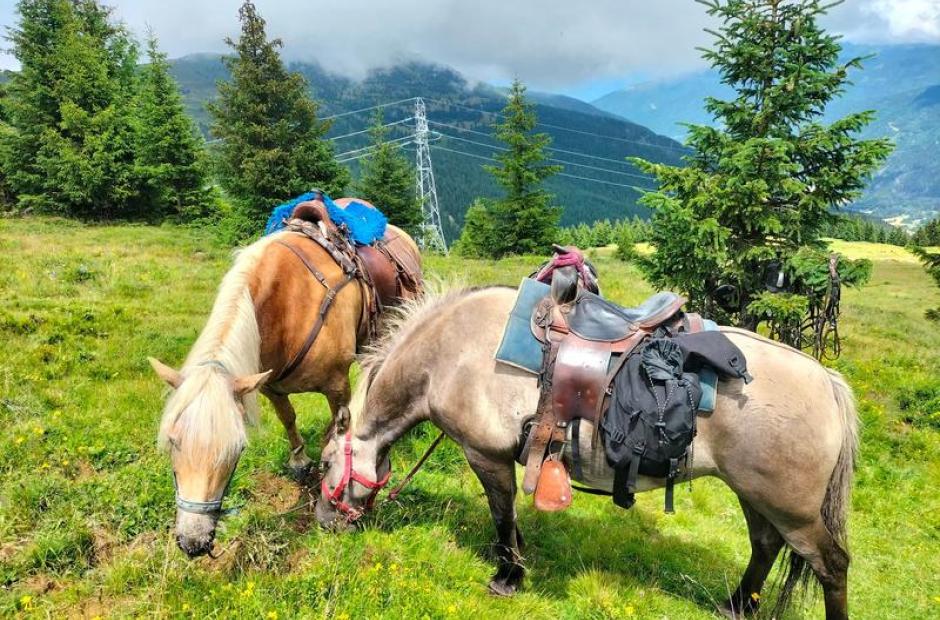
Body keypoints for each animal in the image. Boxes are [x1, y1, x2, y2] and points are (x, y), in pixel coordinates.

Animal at [150, 199, 421, 558]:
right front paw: (300, 460)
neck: (290, 303)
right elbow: (289, 418)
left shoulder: (337, 385)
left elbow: (338, 428)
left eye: (238, 449)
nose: (193, 541)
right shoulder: (269, 386)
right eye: (173, 441)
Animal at [315, 286, 858, 620]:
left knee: (831, 564)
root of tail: (827, 381)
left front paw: (507, 576)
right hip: (756, 495)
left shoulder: (486, 456)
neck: (449, 355)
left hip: (791, 509)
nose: (323, 523)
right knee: (765, 545)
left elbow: (501, 516)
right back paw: (736, 605)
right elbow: (511, 519)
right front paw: (520, 562)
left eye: (324, 463)